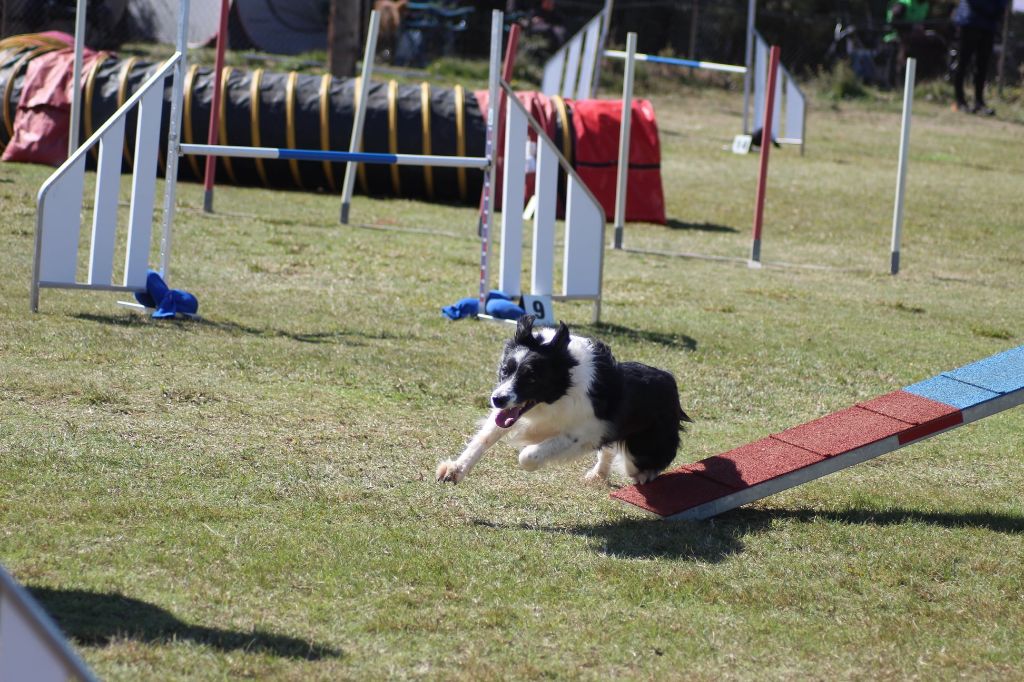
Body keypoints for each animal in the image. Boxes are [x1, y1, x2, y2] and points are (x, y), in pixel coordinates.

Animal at [436, 315, 692, 485]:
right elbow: (484, 438)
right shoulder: (510, 413)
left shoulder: (585, 433)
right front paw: (455, 469)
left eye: (531, 378)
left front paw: (531, 461)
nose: (496, 399)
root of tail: (670, 380)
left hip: (641, 447)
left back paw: (643, 476)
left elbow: (527, 454)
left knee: (645, 461)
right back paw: (597, 474)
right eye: (505, 370)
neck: (559, 394)